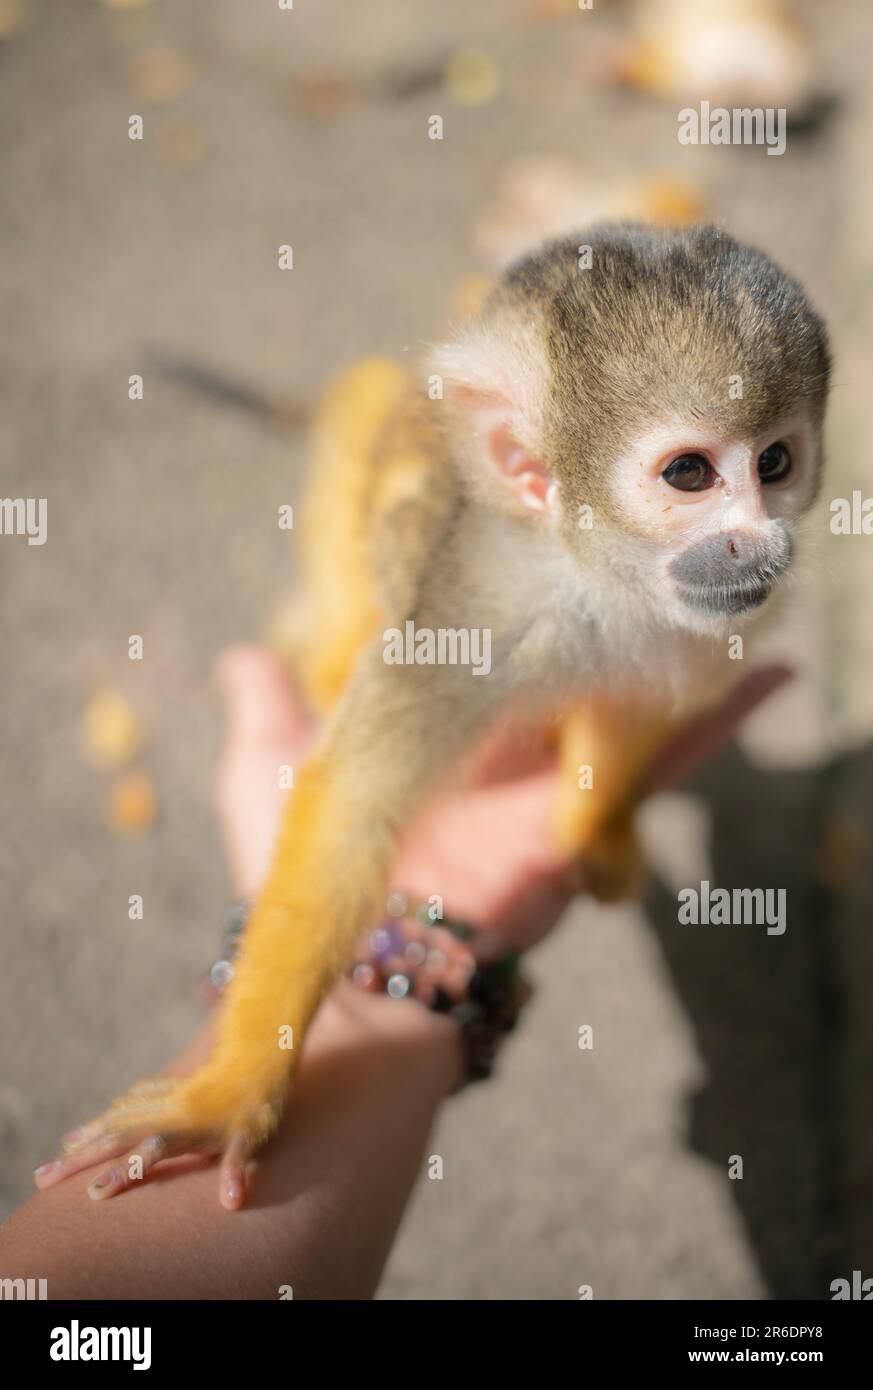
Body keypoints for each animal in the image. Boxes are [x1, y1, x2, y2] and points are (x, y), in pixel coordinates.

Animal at [45, 225, 822, 1206]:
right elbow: (354, 801)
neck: (587, 576)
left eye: (775, 464)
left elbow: (637, 696)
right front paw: (229, 1092)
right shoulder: (467, 606)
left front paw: (595, 820)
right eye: (690, 473)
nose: (761, 545)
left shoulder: (708, 621)